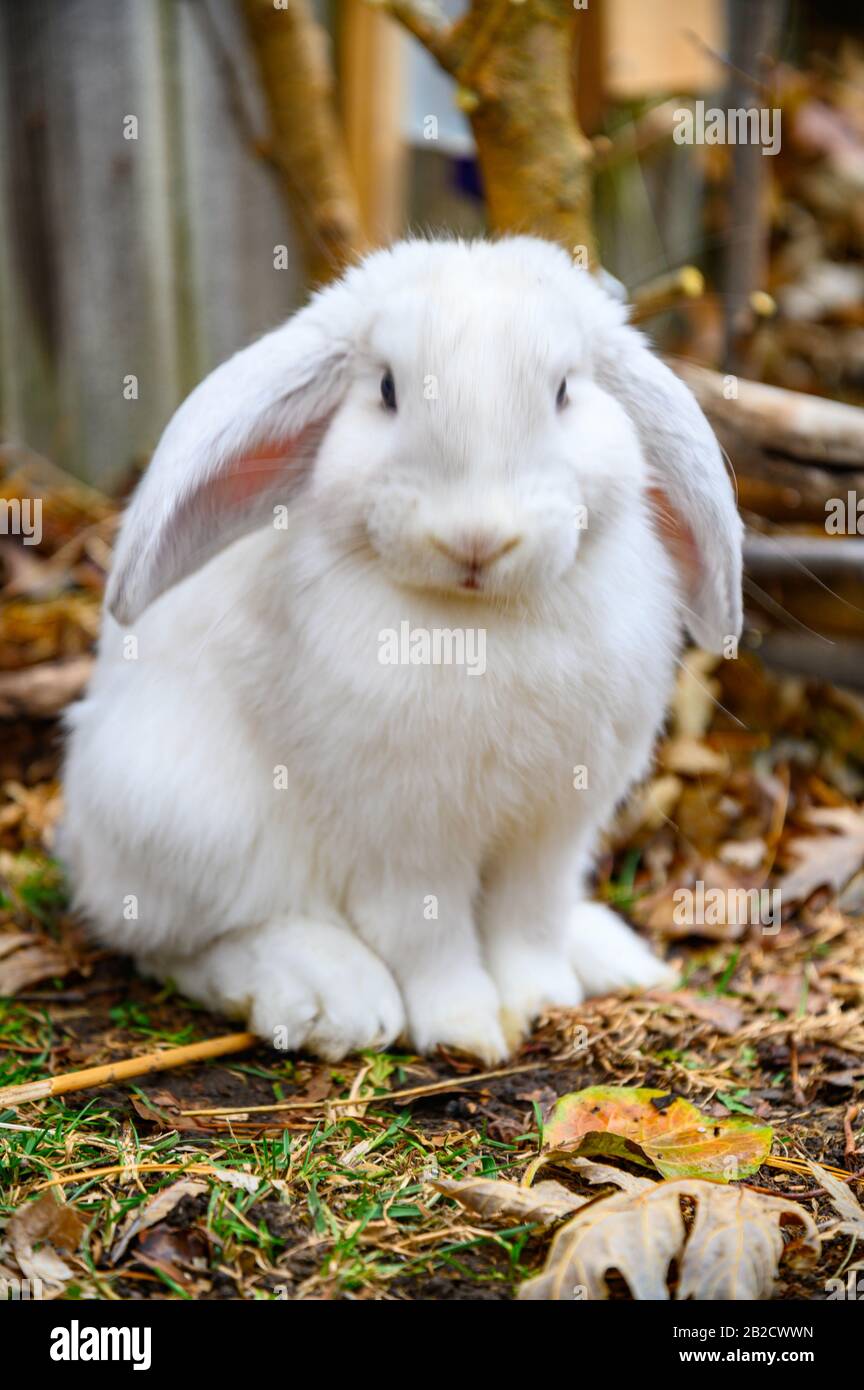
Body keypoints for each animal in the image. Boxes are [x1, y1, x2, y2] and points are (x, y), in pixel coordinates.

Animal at [59, 239, 744, 1061]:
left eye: (563, 393)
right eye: (386, 390)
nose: (476, 537)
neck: (476, 621)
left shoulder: (552, 830)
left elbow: (529, 921)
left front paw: (543, 1001)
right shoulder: (405, 842)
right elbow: (430, 941)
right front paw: (467, 1031)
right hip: (185, 818)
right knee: (179, 942)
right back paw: (330, 997)